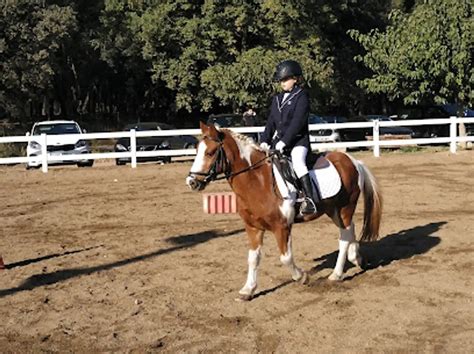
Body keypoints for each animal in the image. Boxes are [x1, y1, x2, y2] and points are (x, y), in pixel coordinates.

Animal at [185, 122, 382, 302]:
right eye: (197, 150)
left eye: (210, 152)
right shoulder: (253, 227)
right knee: (350, 229)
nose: (192, 182)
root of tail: (353, 161)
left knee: (344, 236)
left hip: (344, 208)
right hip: (333, 210)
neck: (257, 182)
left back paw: (337, 274)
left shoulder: (282, 227)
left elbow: (285, 258)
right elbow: (253, 258)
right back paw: (356, 258)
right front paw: (248, 290)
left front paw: (302, 277)